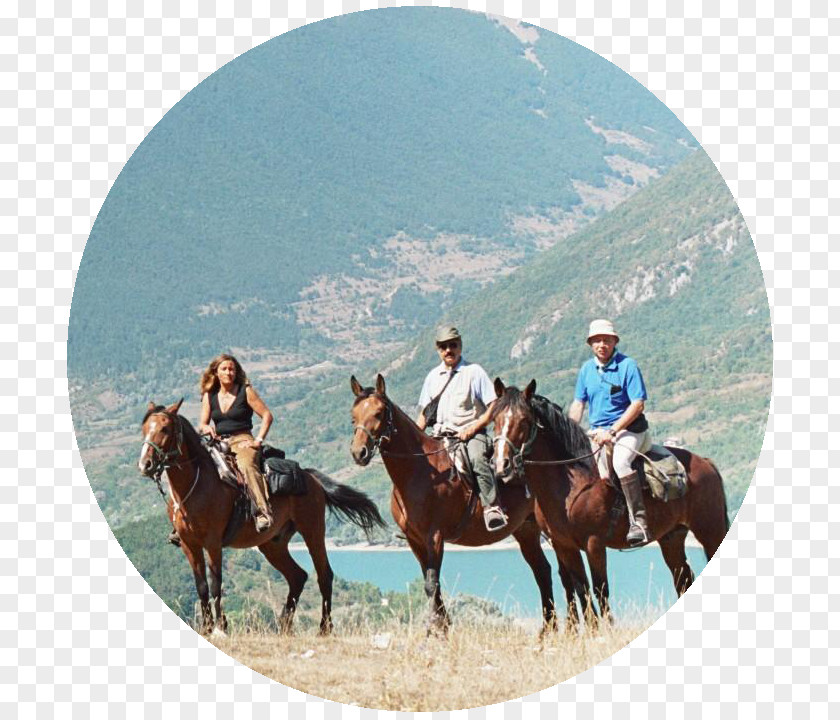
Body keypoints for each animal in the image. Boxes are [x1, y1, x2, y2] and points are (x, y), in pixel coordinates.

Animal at [140, 400, 384, 636]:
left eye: (164, 428)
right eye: (144, 428)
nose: (145, 464)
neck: (196, 485)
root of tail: (310, 477)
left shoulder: (213, 543)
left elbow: (216, 583)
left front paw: (221, 626)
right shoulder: (188, 544)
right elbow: (201, 586)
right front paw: (207, 627)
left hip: (313, 531)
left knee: (324, 575)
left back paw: (324, 628)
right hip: (273, 544)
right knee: (297, 576)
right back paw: (283, 626)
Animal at [352, 374, 592, 632]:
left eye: (378, 413)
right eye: (353, 414)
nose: (359, 452)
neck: (420, 472)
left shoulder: (434, 537)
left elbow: (432, 584)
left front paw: (440, 630)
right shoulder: (414, 540)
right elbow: (430, 585)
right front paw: (439, 628)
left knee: (564, 574)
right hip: (526, 530)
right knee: (543, 572)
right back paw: (548, 629)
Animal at [492, 380, 728, 620]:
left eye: (524, 420)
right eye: (495, 418)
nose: (501, 464)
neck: (573, 484)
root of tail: (706, 463)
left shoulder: (594, 543)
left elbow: (600, 589)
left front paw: (607, 624)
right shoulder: (564, 546)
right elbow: (582, 589)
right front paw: (594, 626)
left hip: (710, 531)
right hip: (672, 537)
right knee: (683, 579)